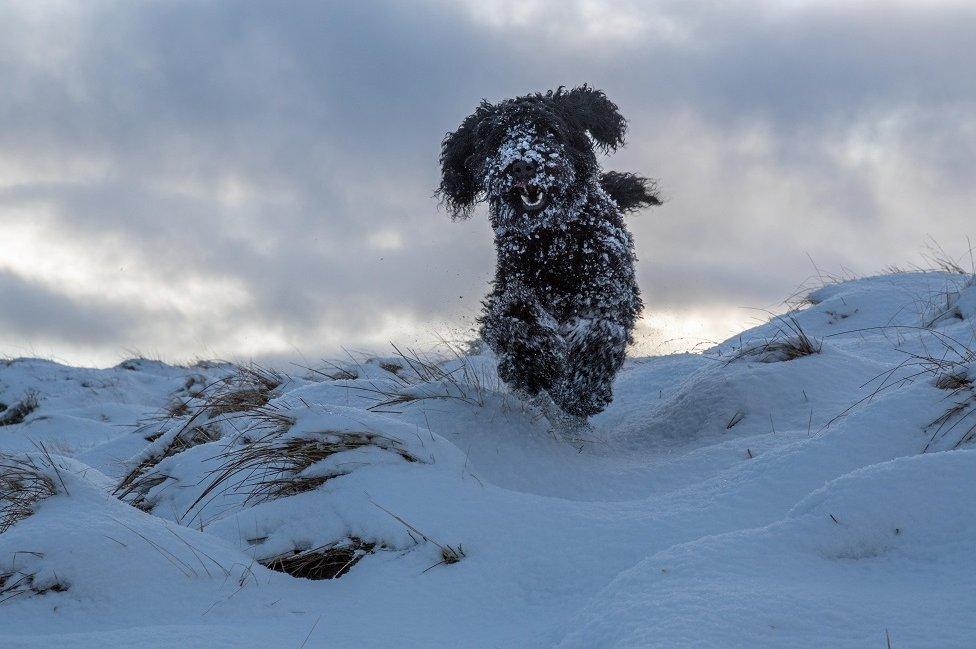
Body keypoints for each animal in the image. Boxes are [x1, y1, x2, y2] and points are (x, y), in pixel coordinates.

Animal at [438, 85, 660, 420]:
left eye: (548, 129)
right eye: (497, 138)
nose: (522, 164)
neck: (552, 243)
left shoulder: (608, 291)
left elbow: (599, 333)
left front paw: (583, 391)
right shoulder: (511, 286)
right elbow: (513, 316)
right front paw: (534, 366)